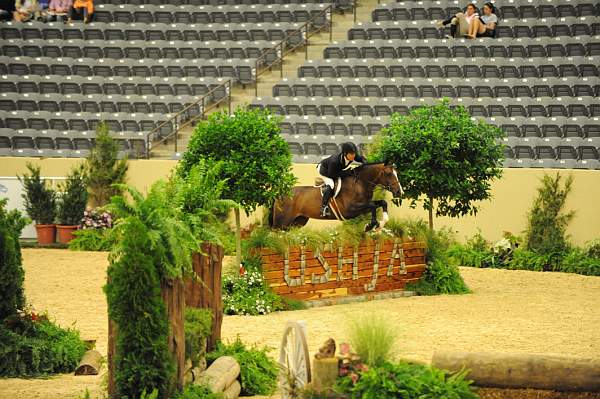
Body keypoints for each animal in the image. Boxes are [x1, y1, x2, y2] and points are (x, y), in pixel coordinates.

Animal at [270, 162, 404, 231]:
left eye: (397, 173)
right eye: (388, 174)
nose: (399, 192)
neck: (360, 183)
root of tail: (279, 194)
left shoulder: (362, 207)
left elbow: (381, 203)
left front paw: (381, 223)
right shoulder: (350, 210)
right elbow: (372, 206)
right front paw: (370, 226)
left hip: (298, 221)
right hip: (281, 223)